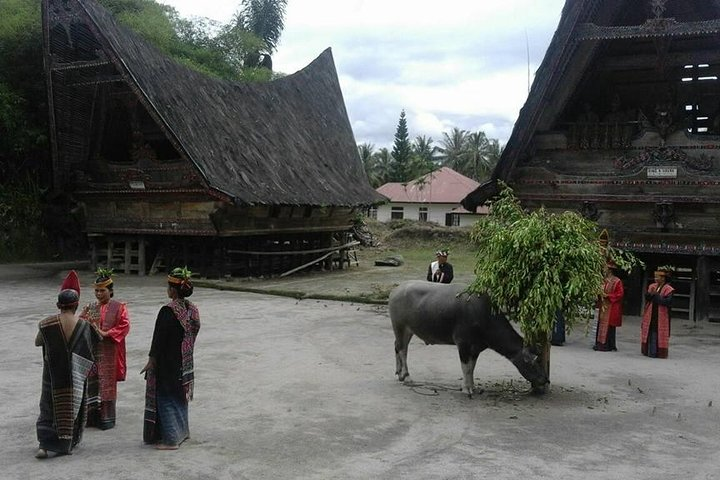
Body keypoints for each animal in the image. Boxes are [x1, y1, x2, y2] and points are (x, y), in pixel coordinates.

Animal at [390, 280, 548, 396]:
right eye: (534, 362)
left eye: (540, 359)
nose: (545, 379)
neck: (483, 316)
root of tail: (395, 291)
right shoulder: (463, 344)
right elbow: (465, 367)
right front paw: (467, 389)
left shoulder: (476, 348)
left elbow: (472, 367)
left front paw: (472, 386)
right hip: (400, 327)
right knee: (402, 350)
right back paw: (407, 376)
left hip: (408, 331)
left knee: (398, 346)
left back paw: (399, 373)